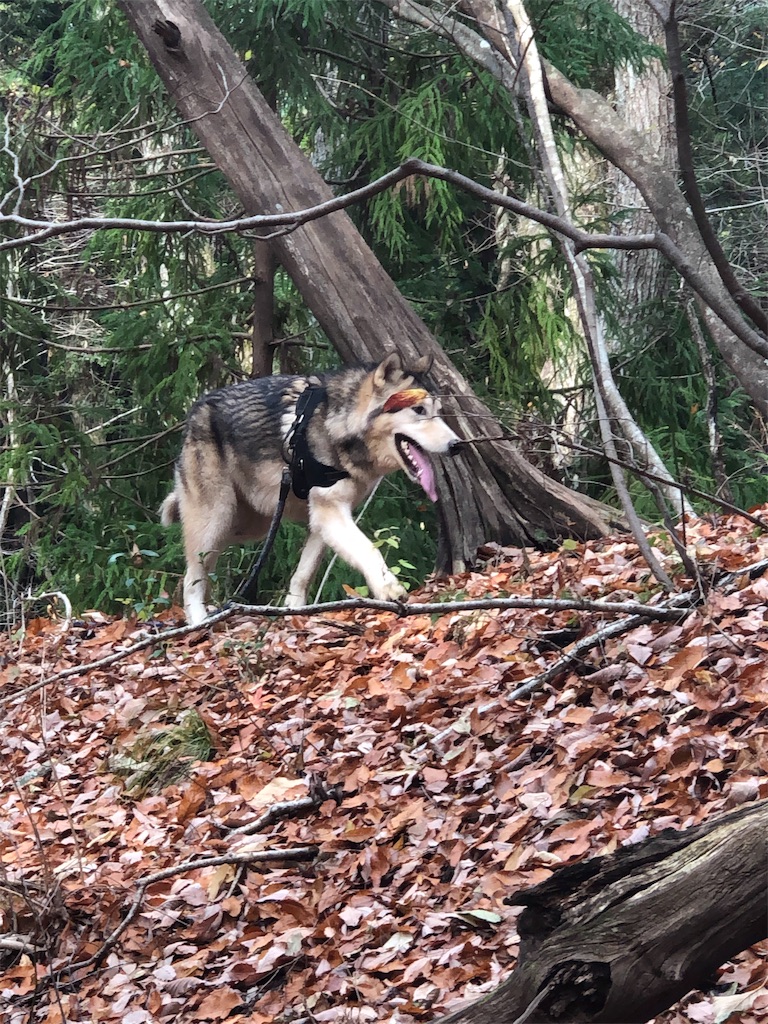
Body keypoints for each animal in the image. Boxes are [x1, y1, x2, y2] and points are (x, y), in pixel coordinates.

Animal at [160, 352, 462, 625]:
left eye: (438, 412)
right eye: (418, 410)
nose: (457, 445)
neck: (336, 424)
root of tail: (195, 411)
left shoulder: (321, 519)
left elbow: (303, 575)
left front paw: (295, 616)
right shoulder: (332, 512)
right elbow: (369, 550)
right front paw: (390, 590)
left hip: (246, 527)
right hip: (216, 520)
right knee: (191, 578)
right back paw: (199, 623)